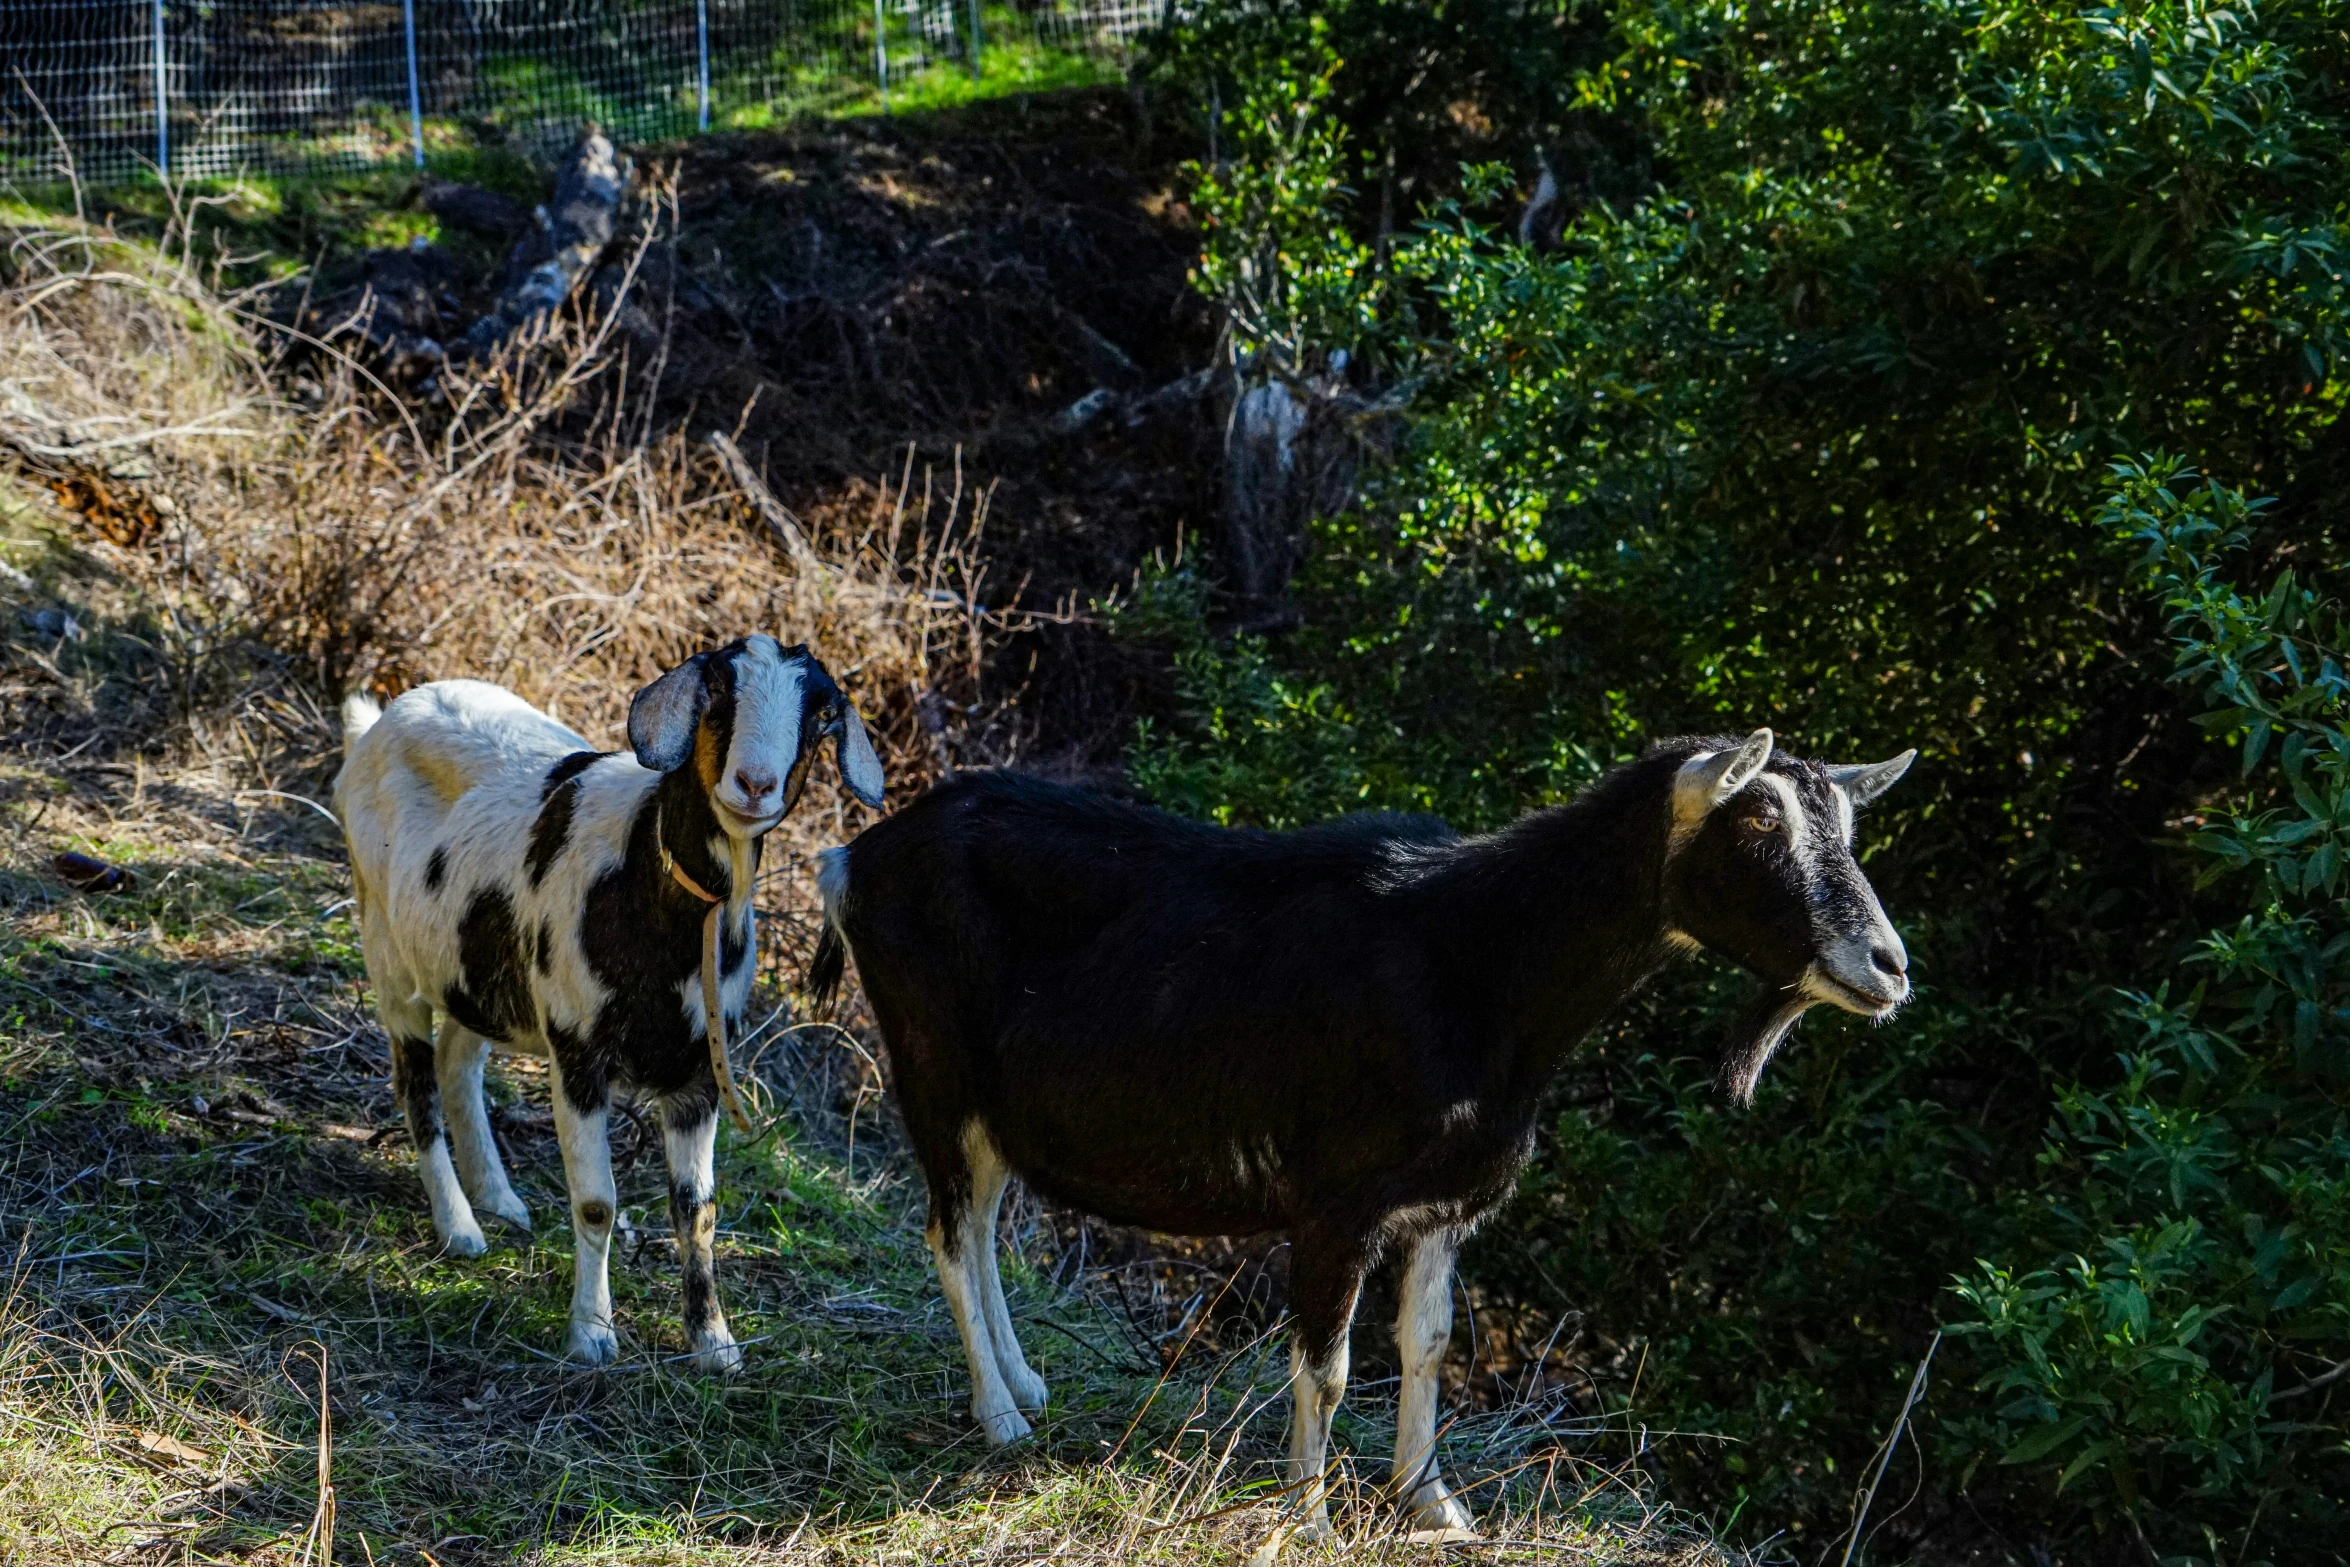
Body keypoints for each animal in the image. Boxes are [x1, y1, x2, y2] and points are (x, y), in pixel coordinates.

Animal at [347, 639, 888, 1372]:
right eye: (717, 689)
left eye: (823, 713)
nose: (754, 784)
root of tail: (378, 721)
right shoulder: (579, 1055)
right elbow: (598, 1203)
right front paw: (592, 1333)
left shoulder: (700, 1076)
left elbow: (697, 1210)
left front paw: (713, 1341)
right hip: (387, 947)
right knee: (417, 1082)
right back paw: (458, 1226)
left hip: (477, 969)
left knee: (460, 1059)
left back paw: (498, 1197)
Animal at [808, 737, 1908, 1541]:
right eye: (1756, 815)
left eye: (1847, 823)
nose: (1889, 963)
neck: (1478, 964)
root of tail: (852, 857)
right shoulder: (1333, 1201)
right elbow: (1327, 1364)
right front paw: (1310, 1517)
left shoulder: (1448, 1202)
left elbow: (1428, 1343)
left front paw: (1433, 1501)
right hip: (930, 1062)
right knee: (948, 1233)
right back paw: (997, 1414)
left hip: (995, 1103)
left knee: (984, 1219)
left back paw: (1026, 1382)